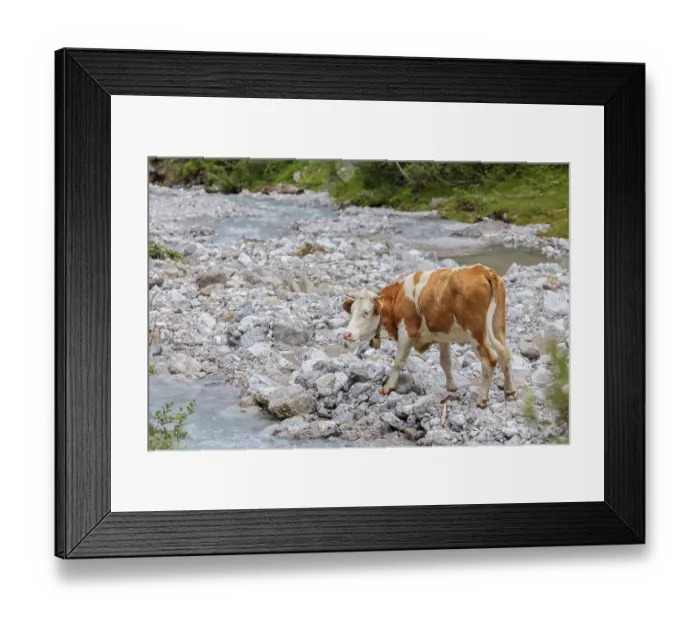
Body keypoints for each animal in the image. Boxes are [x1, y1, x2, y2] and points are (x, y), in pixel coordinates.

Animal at [342, 264, 515, 408]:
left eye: (366, 312)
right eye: (352, 311)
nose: (347, 334)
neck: (399, 298)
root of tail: (482, 270)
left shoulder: (406, 331)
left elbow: (398, 361)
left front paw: (388, 387)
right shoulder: (443, 336)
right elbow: (445, 363)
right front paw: (451, 387)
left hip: (476, 332)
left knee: (489, 360)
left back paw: (482, 399)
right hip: (498, 326)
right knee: (504, 355)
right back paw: (510, 392)